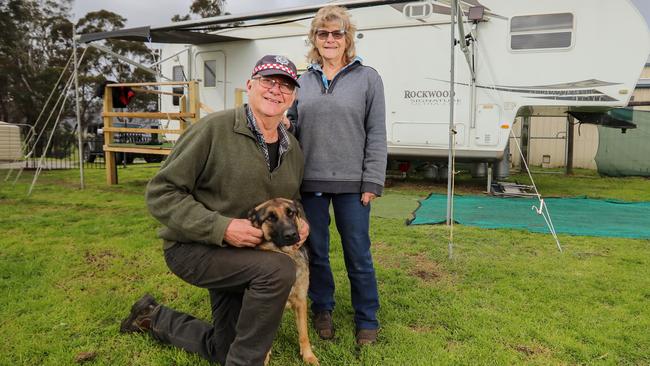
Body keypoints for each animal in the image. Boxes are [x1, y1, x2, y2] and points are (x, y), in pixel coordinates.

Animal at [247, 199, 318, 364]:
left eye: (291, 213)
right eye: (270, 218)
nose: (291, 235)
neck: (287, 255)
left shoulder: (301, 302)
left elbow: (304, 334)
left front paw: (308, 356)